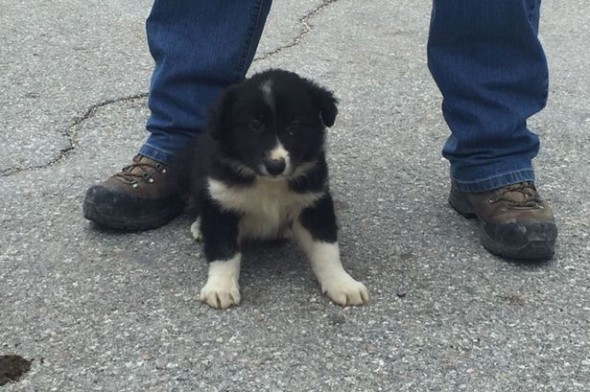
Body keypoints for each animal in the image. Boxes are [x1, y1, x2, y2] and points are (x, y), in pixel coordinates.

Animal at [187, 69, 368, 310]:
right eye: (254, 125)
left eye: (294, 126)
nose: (275, 166)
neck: (269, 183)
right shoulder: (222, 203)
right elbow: (224, 250)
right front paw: (221, 287)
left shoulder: (313, 203)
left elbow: (326, 249)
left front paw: (342, 283)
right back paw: (199, 227)